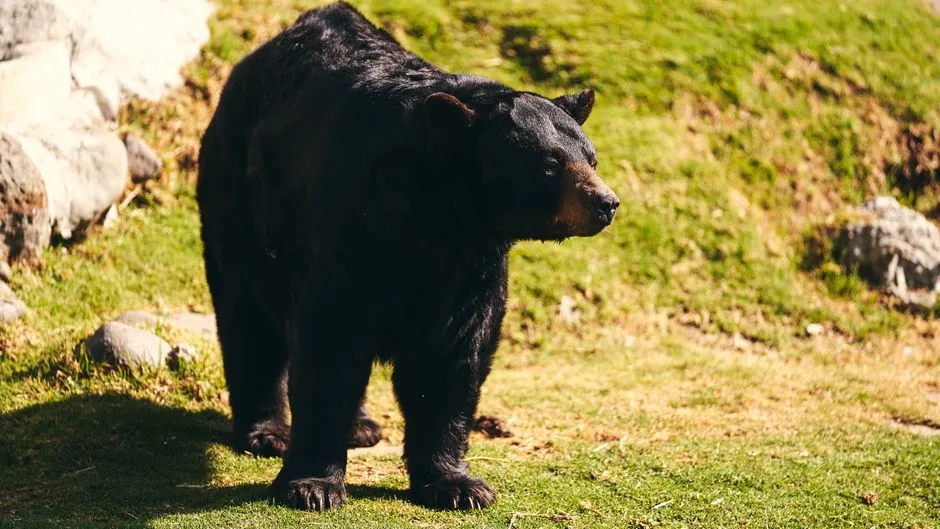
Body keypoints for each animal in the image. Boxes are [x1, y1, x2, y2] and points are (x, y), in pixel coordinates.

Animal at [196, 1, 619, 512]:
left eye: (591, 158)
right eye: (550, 164)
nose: (606, 203)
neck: (436, 218)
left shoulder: (469, 268)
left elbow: (453, 358)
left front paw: (458, 484)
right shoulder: (357, 231)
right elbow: (330, 340)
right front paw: (312, 485)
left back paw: (361, 426)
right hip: (244, 203)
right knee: (250, 313)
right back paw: (267, 432)